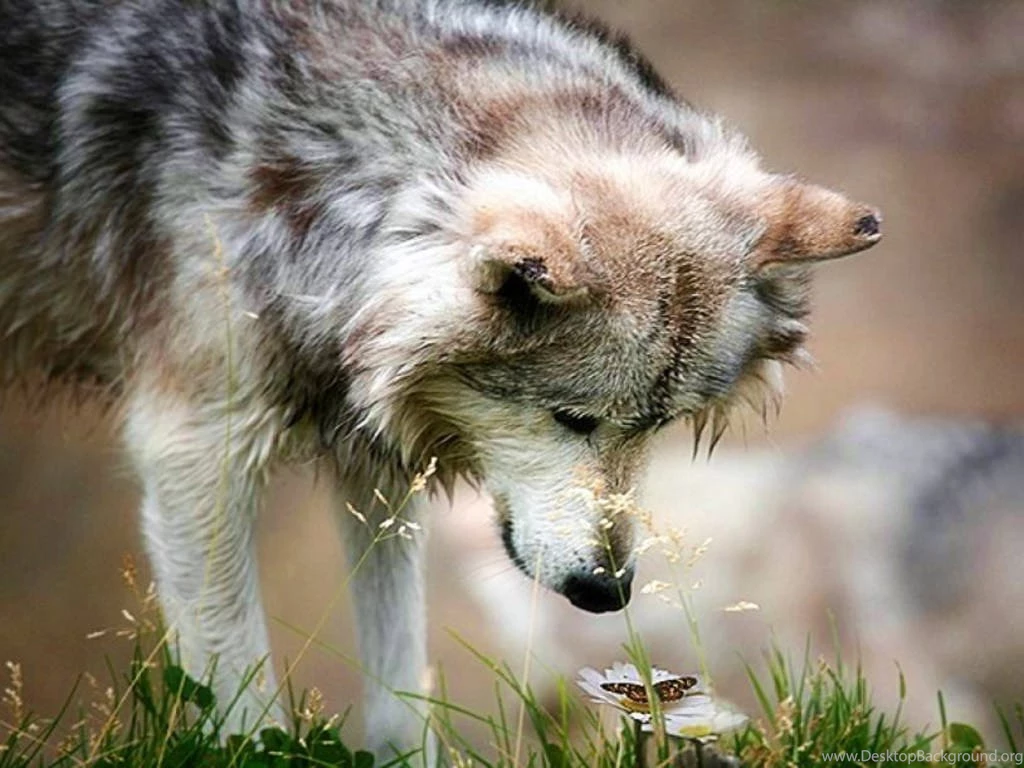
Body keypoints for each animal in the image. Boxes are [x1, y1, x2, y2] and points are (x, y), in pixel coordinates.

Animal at [0, 0, 881, 759]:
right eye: (572, 418)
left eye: (657, 424)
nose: (608, 591)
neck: (326, 188)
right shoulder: (194, 453)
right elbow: (244, 705)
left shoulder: (375, 466)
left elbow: (399, 689)